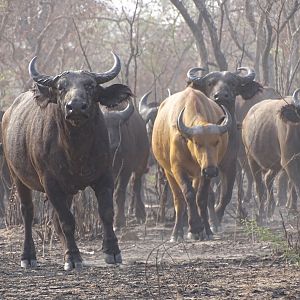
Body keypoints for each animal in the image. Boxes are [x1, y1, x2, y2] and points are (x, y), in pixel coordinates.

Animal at [1, 52, 132, 270]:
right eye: (61, 87)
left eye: (90, 85)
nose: (76, 107)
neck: (76, 150)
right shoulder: (51, 183)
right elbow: (67, 221)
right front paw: (73, 257)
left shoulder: (105, 175)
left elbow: (106, 212)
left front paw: (112, 251)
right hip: (17, 177)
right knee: (28, 213)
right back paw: (28, 256)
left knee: (54, 219)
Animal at [102, 101, 150, 230]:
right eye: (104, 126)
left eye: (118, 126)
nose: (113, 145)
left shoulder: (126, 169)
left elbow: (119, 193)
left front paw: (118, 221)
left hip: (141, 164)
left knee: (136, 186)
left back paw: (140, 214)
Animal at [152, 85, 232, 240]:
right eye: (197, 143)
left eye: (216, 141)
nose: (211, 170)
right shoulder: (178, 169)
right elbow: (188, 194)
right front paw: (194, 227)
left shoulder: (202, 173)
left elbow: (201, 197)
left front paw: (206, 230)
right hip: (168, 172)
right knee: (179, 199)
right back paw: (176, 233)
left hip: (197, 174)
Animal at [241, 88, 300, 221]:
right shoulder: (289, 161)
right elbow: (296, 184)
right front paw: (294, 210)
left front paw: (292, 209)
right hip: (251, 158)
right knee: (259, 186)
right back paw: (261, 213)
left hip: (275, 163)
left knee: (268, 179)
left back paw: (270, 209)